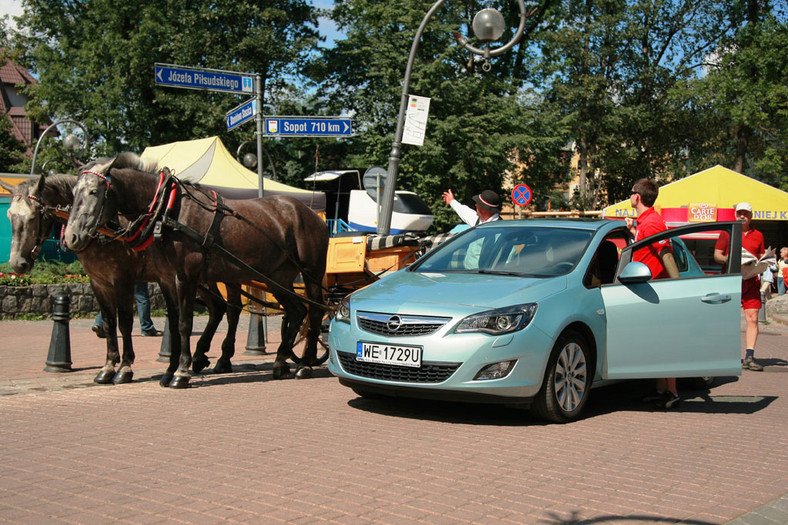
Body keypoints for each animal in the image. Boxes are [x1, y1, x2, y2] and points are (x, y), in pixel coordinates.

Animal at [0, 174, 243, 382]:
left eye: (33, 216)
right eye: (10, 216)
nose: (17, 263)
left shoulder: (122, 279)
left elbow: (125, 323)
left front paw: (125, 367)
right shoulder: (98, 282)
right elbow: (109, 323)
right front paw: (108, 366)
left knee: (231, 310)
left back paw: (220, 356)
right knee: (220, 308)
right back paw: (204, 356)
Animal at [63, 154, 330, 386]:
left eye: (94, 191)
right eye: (73, 193)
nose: (72, 236)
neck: (168, 210)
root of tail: (311, 214)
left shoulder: (182, 277)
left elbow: (183, 323)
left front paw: (181, 372)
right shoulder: (165, 279)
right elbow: (171, 325)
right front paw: (169, 371)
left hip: (311, 273)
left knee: (315, 311)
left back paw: (305, 364)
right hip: (277, 278)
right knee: (296, 311)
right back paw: (280, 361)